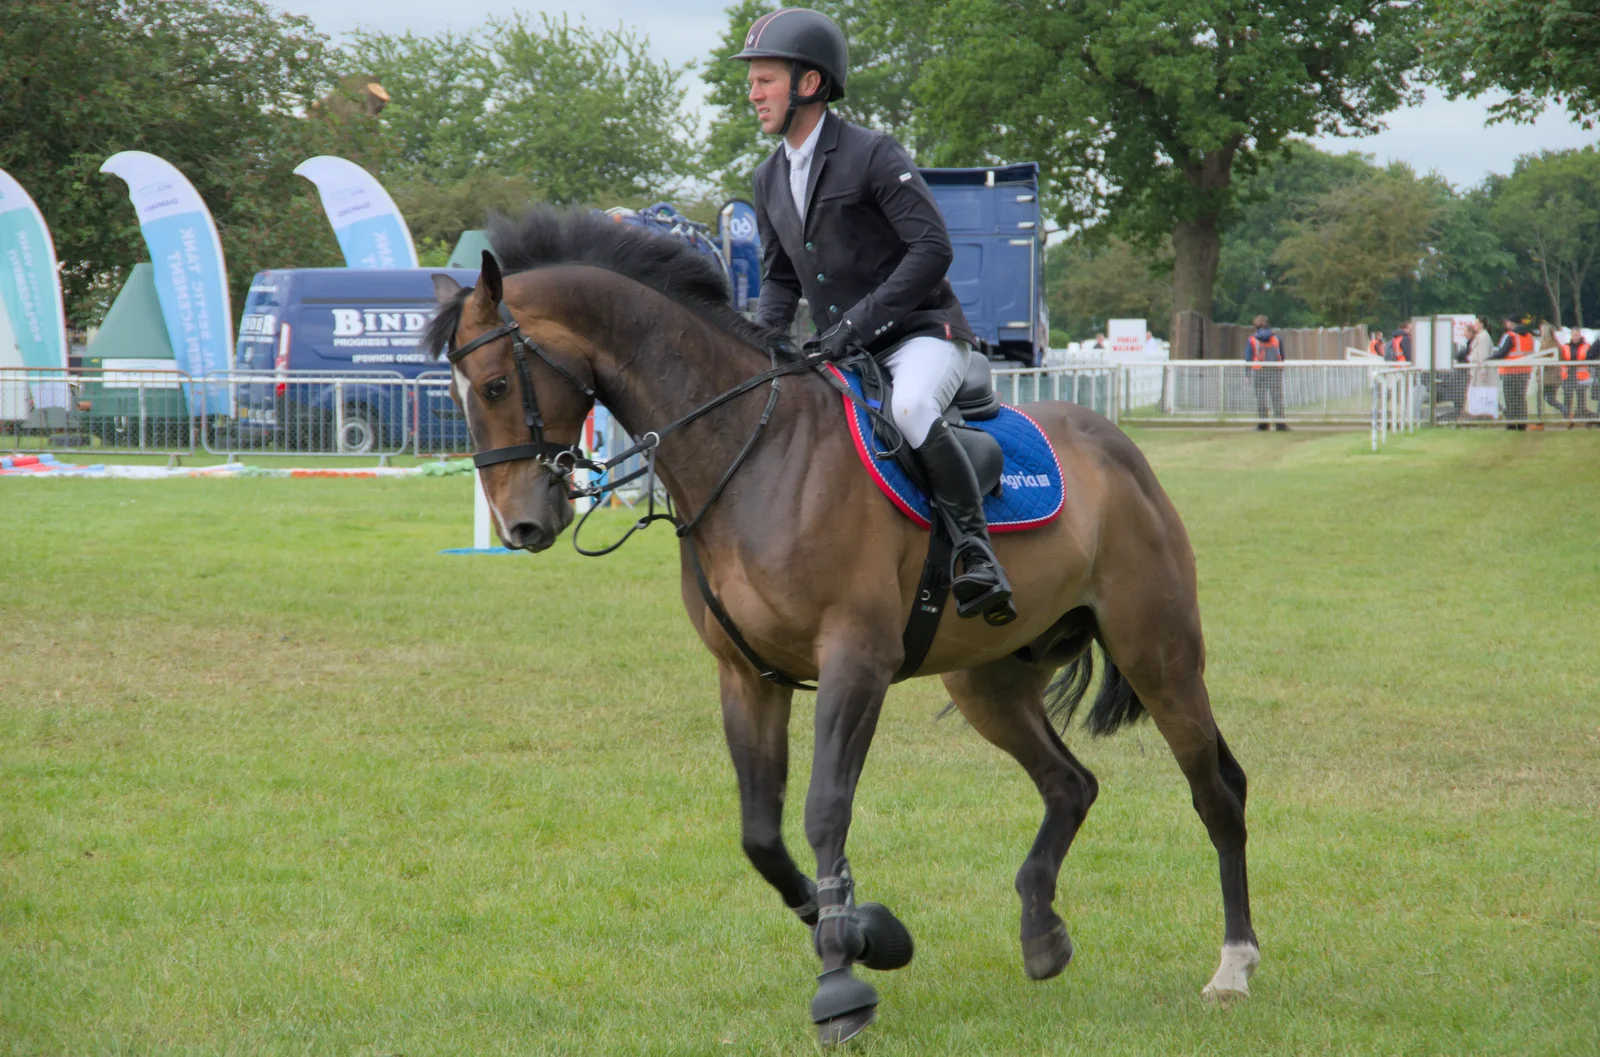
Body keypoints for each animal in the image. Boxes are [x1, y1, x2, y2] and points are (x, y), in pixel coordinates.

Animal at [425, 209, 1260, 1042]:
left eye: (495, 383)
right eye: (457, 393)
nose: (520, 525)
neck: (747, 452)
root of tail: (1115, 446)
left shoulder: (855, 661)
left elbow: (826, 809)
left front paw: (839, 985)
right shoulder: (748, 676)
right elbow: (760, 835)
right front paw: (869, 933)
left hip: (1159, 654)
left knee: (1216, 790)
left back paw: (1233, 965)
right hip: (988, 681)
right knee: (1070, 784)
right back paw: (1041, 932)